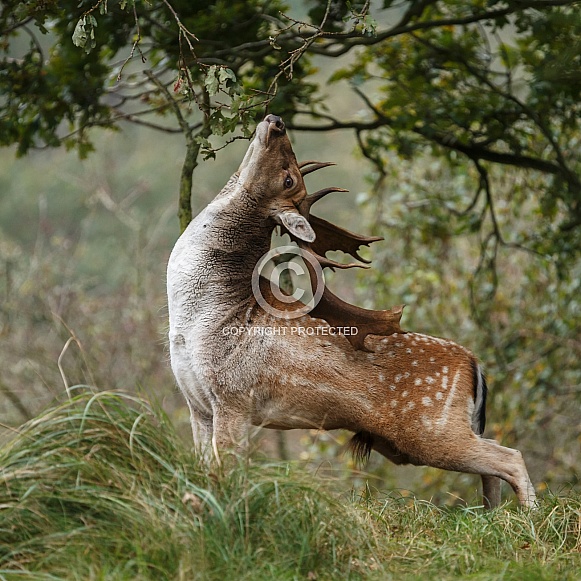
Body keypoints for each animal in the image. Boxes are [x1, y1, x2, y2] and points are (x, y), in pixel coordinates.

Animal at [164, 113, 536, 508]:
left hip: (431, 428)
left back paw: (531, 517)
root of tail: (474, 364)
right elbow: (203, 467)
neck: (199, 318)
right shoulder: (198, 404)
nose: (276, 120)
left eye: (289, 177)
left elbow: (225, 471)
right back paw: (493, 514)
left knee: (509, 456)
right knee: (493, 459)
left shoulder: (233, 397)